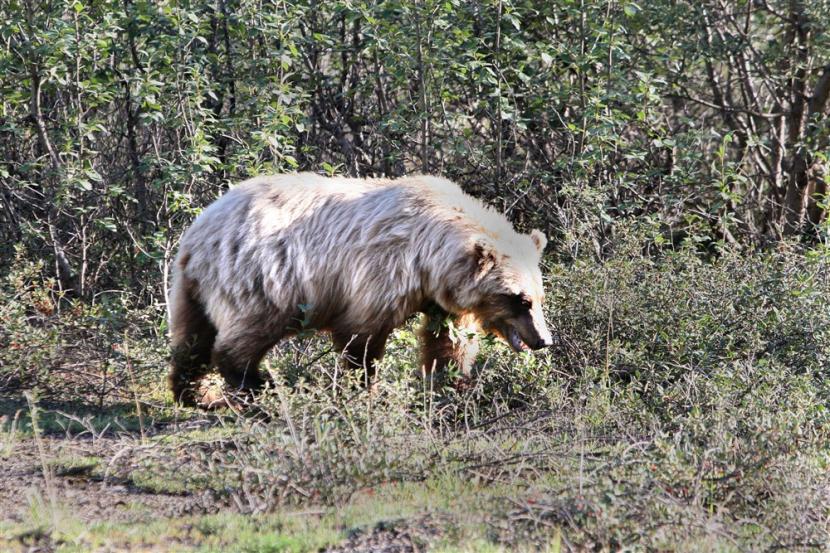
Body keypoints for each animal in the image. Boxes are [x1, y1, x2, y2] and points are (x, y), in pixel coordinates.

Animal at [169, 172, 552, 406]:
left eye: (539, 296)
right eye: (519, 299)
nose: (543, 339)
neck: (429, 257)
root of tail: (197, 233)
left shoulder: (441, 298)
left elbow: (448, 341)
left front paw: (450, 383)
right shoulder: (380, 270)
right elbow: (361, 336)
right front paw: (366, 387)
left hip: (192, 287)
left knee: (192, 338)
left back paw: (193, 392)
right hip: (264, 278)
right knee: (244, 335)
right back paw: (256, 387)